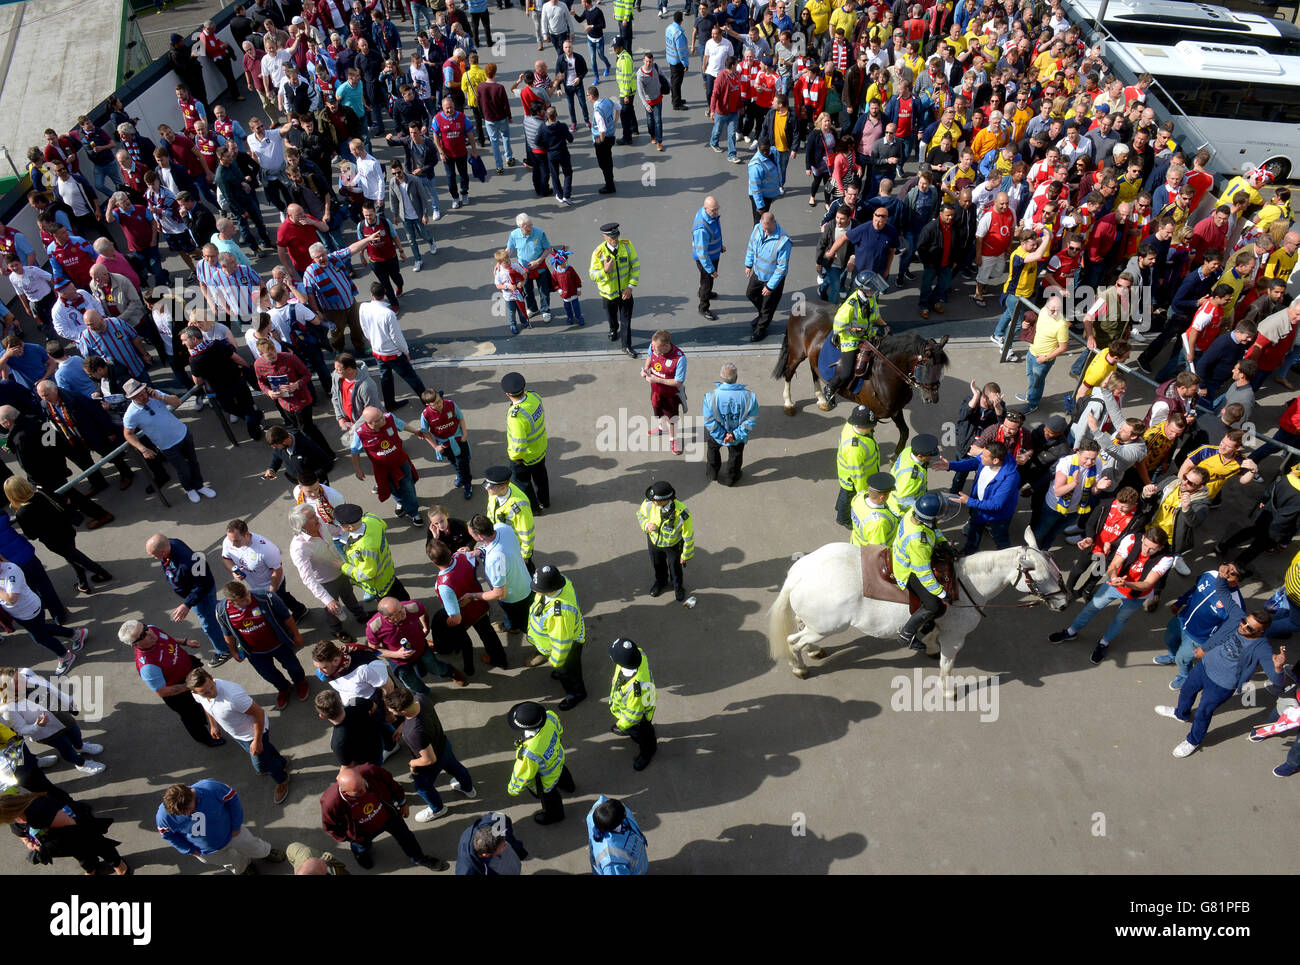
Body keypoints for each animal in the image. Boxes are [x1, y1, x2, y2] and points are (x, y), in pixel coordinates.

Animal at [769, 316, 946, 455]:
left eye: (941, 368)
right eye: (927, 367)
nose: (933, 398)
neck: (885, 373)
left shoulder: (895, 410)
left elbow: (905, 432)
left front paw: (895, 457)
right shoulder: (873, 414)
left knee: (814, 370)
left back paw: (822, 399)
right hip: (797, 353)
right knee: (789, 373)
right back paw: (789, 404)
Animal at [769, 533, 1066, 697]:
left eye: (1057, 570)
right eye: (1040, 578)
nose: (1064, 604)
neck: (965, 584)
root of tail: (799, 572)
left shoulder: (936, 620)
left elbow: (932, 634)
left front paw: (929, 647)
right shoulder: (955, 637)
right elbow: (947, 665)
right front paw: (948, 690)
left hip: (816, 624)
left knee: (801, 629)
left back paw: (813, 651)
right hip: (826, 627)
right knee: (794, 641)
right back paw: (799, 667)